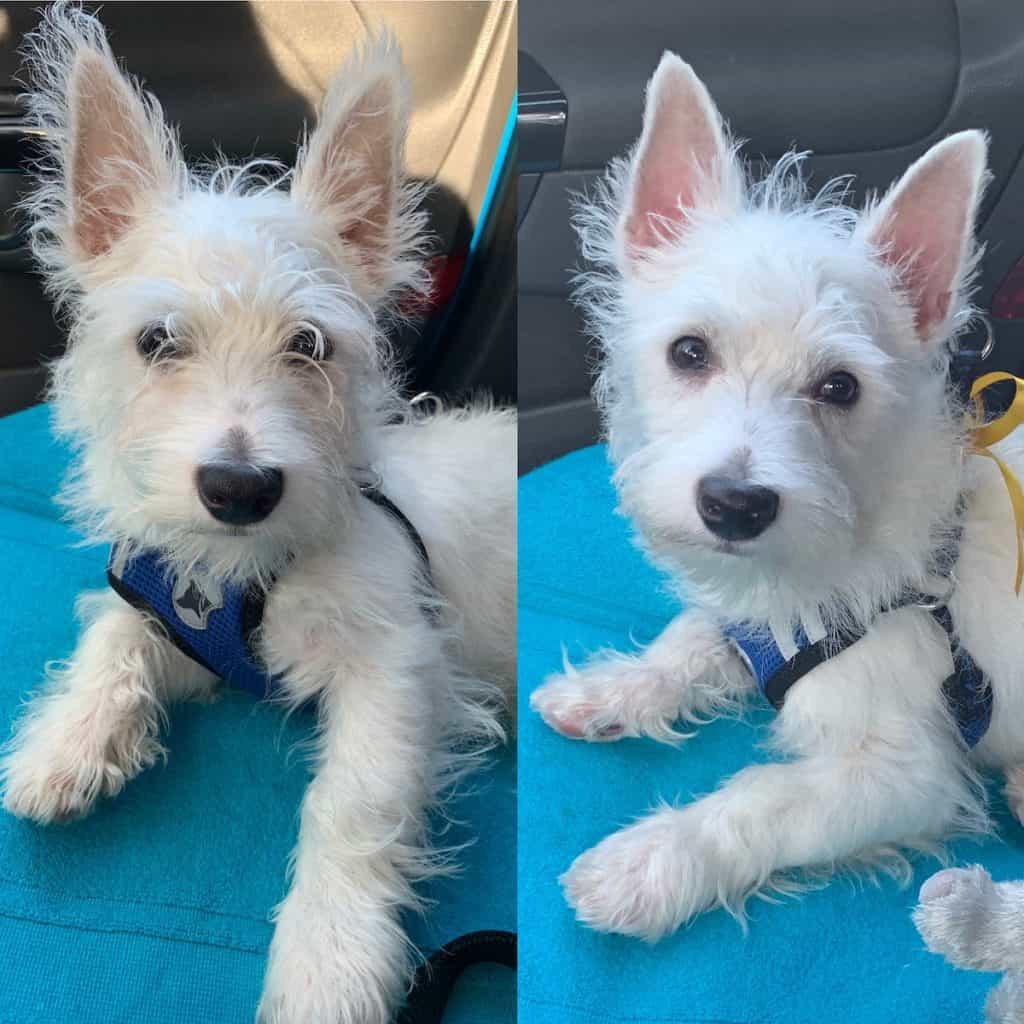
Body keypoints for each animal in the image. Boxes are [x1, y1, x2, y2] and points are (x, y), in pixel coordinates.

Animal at [0, 4, 516, 1019]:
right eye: (159, 341)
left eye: (308, 345)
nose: (239, 489)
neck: (249, 572)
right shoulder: (180, 611)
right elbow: (117, 631)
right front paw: (63, 741)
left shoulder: (398, 663)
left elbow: (352, 802)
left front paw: (329, 965)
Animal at [528, 51, 1024, 937]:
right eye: (690, 352)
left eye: (841, 387)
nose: (735, 505)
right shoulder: (754, 614)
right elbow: (692, 639)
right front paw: (611, 689)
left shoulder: (906, 771)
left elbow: (762, 802)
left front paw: (646, 862)